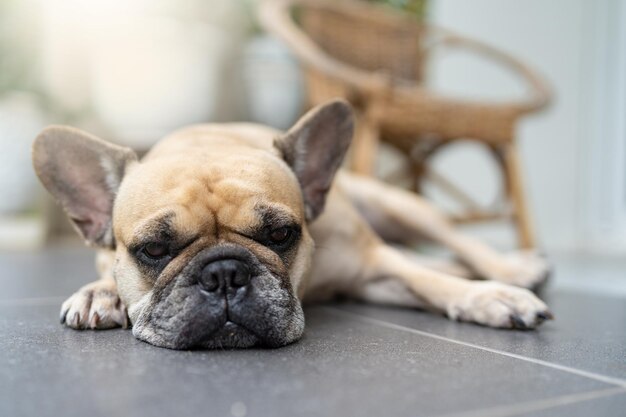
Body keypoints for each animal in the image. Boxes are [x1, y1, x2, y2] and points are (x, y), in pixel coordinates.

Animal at [33, 98, 552, 348]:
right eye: (155, 250)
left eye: (281, 234)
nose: (224, 273)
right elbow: (106, 273)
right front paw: (100, 293)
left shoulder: (372, 266)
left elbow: (427, 280)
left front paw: (490, 297)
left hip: (401, 206)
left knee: (454, 244)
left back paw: (513, 269)